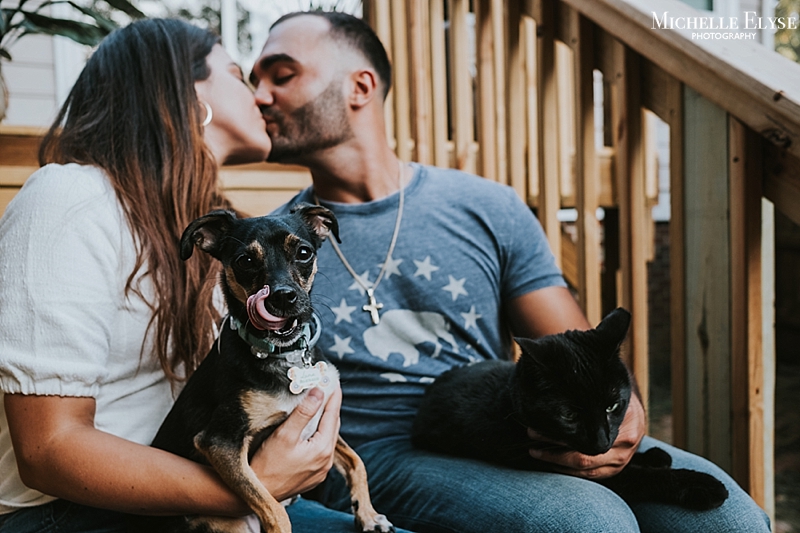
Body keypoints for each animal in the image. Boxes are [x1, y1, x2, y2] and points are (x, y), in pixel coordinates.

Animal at [149, 204, 394, 532]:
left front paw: (368, 514)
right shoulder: (219, 442)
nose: (283, 296)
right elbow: (273, 508)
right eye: (245, 260)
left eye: (304, 252)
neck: (284, 355)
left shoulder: (322, 425)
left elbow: (356, 462)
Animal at [412, 308, 732, 512]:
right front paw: (701, 485)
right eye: (569, 415)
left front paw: (652, 456)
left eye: (613, 405)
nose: (602, 442)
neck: (510, 407)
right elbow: (637, 476)